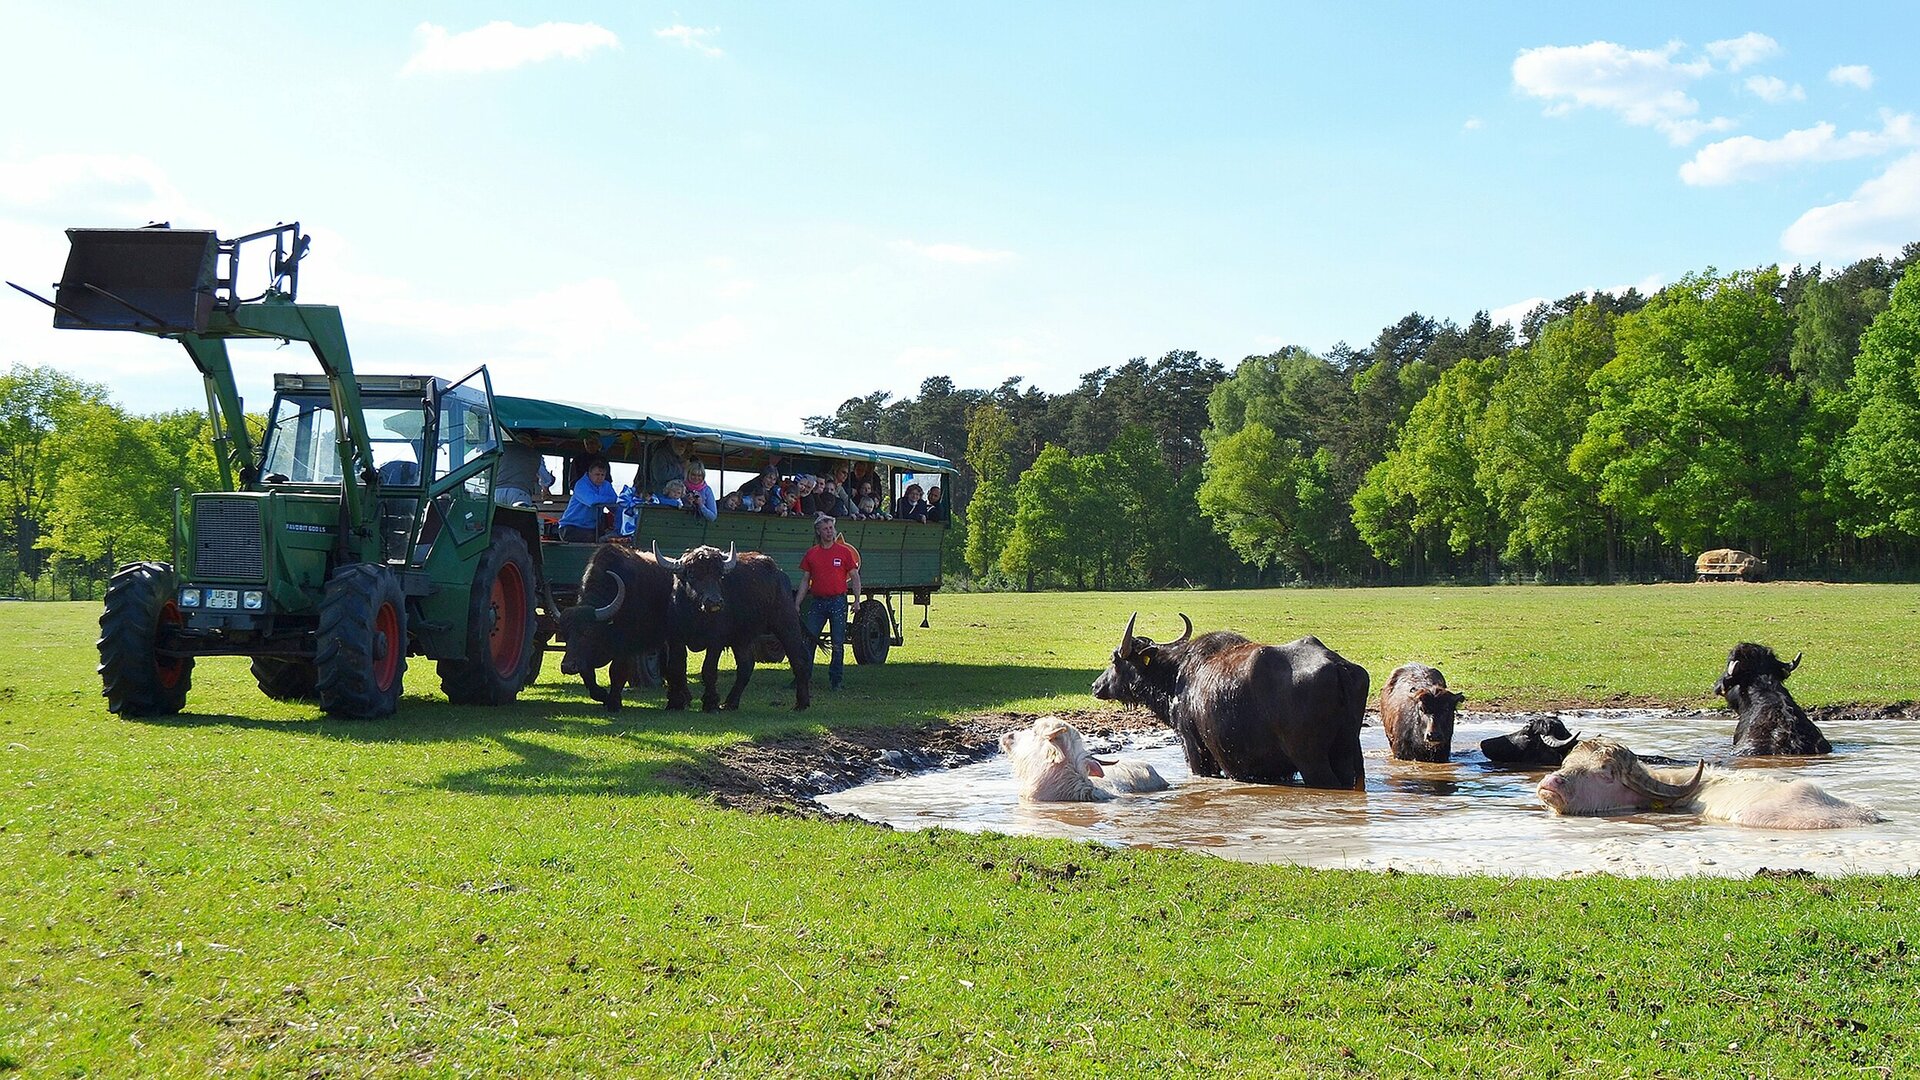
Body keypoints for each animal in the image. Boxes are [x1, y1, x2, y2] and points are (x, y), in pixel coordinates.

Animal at [556, 541, 683, 711]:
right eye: (565, 635)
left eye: (588, 632)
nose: (568, 666)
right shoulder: (584, 656)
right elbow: (587, 674)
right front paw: (603, 695)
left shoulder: (626, 645)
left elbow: (617, 670)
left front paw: (614, 702)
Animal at [656, 541, 814, 711]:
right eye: (692, 574)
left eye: (719, 575)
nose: (715, 601)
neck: (697, 615)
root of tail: (779, 573)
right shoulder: (676, 640)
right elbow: (675, 669)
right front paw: (675, 703)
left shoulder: (716, 642)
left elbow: (709, 670)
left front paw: (711, 703)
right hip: (741, 638)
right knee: (746, 666)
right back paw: (730, 702)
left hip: (786, 622)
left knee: (799, 658)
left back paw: (801, 703)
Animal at [1098, 611, 1367, 787]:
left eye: (1115, 659)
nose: (1096, 685)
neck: (1175, 677)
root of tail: (1338, 667)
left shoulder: (1194, 747)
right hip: (1347, 751)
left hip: (1311, 760)